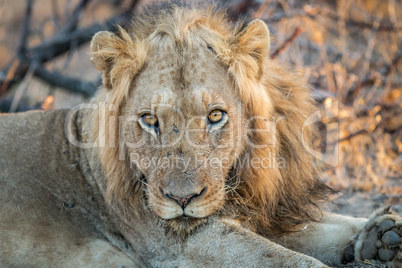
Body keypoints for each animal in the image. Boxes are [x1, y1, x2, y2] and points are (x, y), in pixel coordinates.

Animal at [0, 2, 402, 268]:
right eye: (150, 120)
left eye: (215, 116)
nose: (182, 199)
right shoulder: (180, 245)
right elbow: (285, 259)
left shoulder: (264, 213)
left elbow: (324, 226)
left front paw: (383, 236)